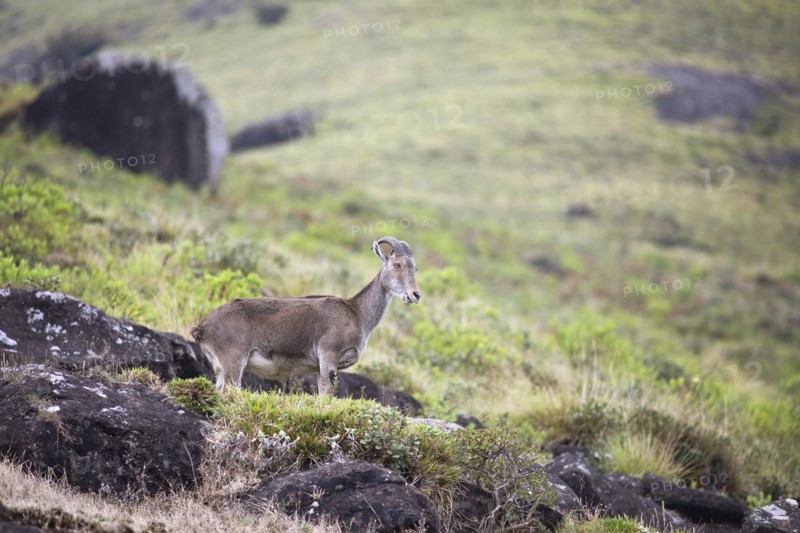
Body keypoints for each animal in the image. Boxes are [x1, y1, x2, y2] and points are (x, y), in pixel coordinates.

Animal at [191, 237, 422, 395]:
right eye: (397, 264)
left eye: (415, 268)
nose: (415, 295)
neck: (358, 313)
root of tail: (202, 327)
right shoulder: (329, 355)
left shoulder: (321, 367)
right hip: (233, 360)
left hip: (220, 367)